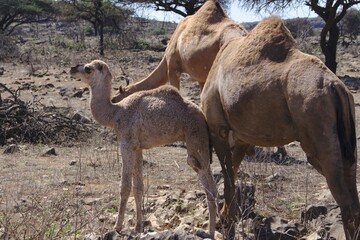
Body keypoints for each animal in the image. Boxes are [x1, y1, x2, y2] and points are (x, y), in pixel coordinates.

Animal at [69, 59, 218, 236]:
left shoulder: (126, 144)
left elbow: (125, 186)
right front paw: (138, 226)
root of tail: (203, 116)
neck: (115, 113)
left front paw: (118, 227)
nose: (72, 69)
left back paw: (210, 232)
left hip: (196, 138)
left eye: (88, 69)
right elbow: (138, 187)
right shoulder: (137, 147)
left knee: (208, 183)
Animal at [201, 15, 358, 239]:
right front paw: (225, 221)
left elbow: (229, 181)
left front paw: (226, 227)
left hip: (316, 124)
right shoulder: (241, 137)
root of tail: (337, 88)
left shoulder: (217, 128)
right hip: (346, 136)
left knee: (346, 201)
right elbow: (233, 173)